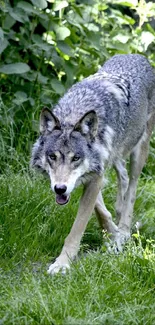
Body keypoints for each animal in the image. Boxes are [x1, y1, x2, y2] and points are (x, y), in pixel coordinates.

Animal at [30, 53, 155, 274]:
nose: (60, 189)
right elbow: (100, 209)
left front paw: (62, 263)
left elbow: (78, 227)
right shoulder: (95, 172)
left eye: (75, 158)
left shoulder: (95, 174)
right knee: (122, 177)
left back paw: (125, 228)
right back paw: (119, 217)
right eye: (52, 157)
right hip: (117, 157)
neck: (74, 113)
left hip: (140, 152)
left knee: (132, 189)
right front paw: (112, 234)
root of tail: (137, 56)